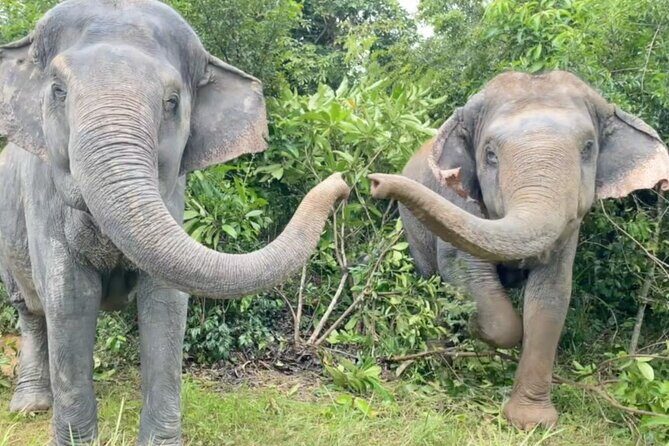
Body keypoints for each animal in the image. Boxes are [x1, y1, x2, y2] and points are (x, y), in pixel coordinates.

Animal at [0, 1, 349, 444]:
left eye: (171, 102)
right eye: (58, 90)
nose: (344, 181)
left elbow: (166, 300)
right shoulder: (42, 194)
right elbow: (69, 297)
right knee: (30, 311)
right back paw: (31, 406)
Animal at [369, 71, 669, 429]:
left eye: (588, 148)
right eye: (490, 155)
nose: (375, 182)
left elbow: (551, 294)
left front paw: (531, 422)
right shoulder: (456, 196)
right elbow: (465, 273)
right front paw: (474, 327)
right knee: (432, 281)